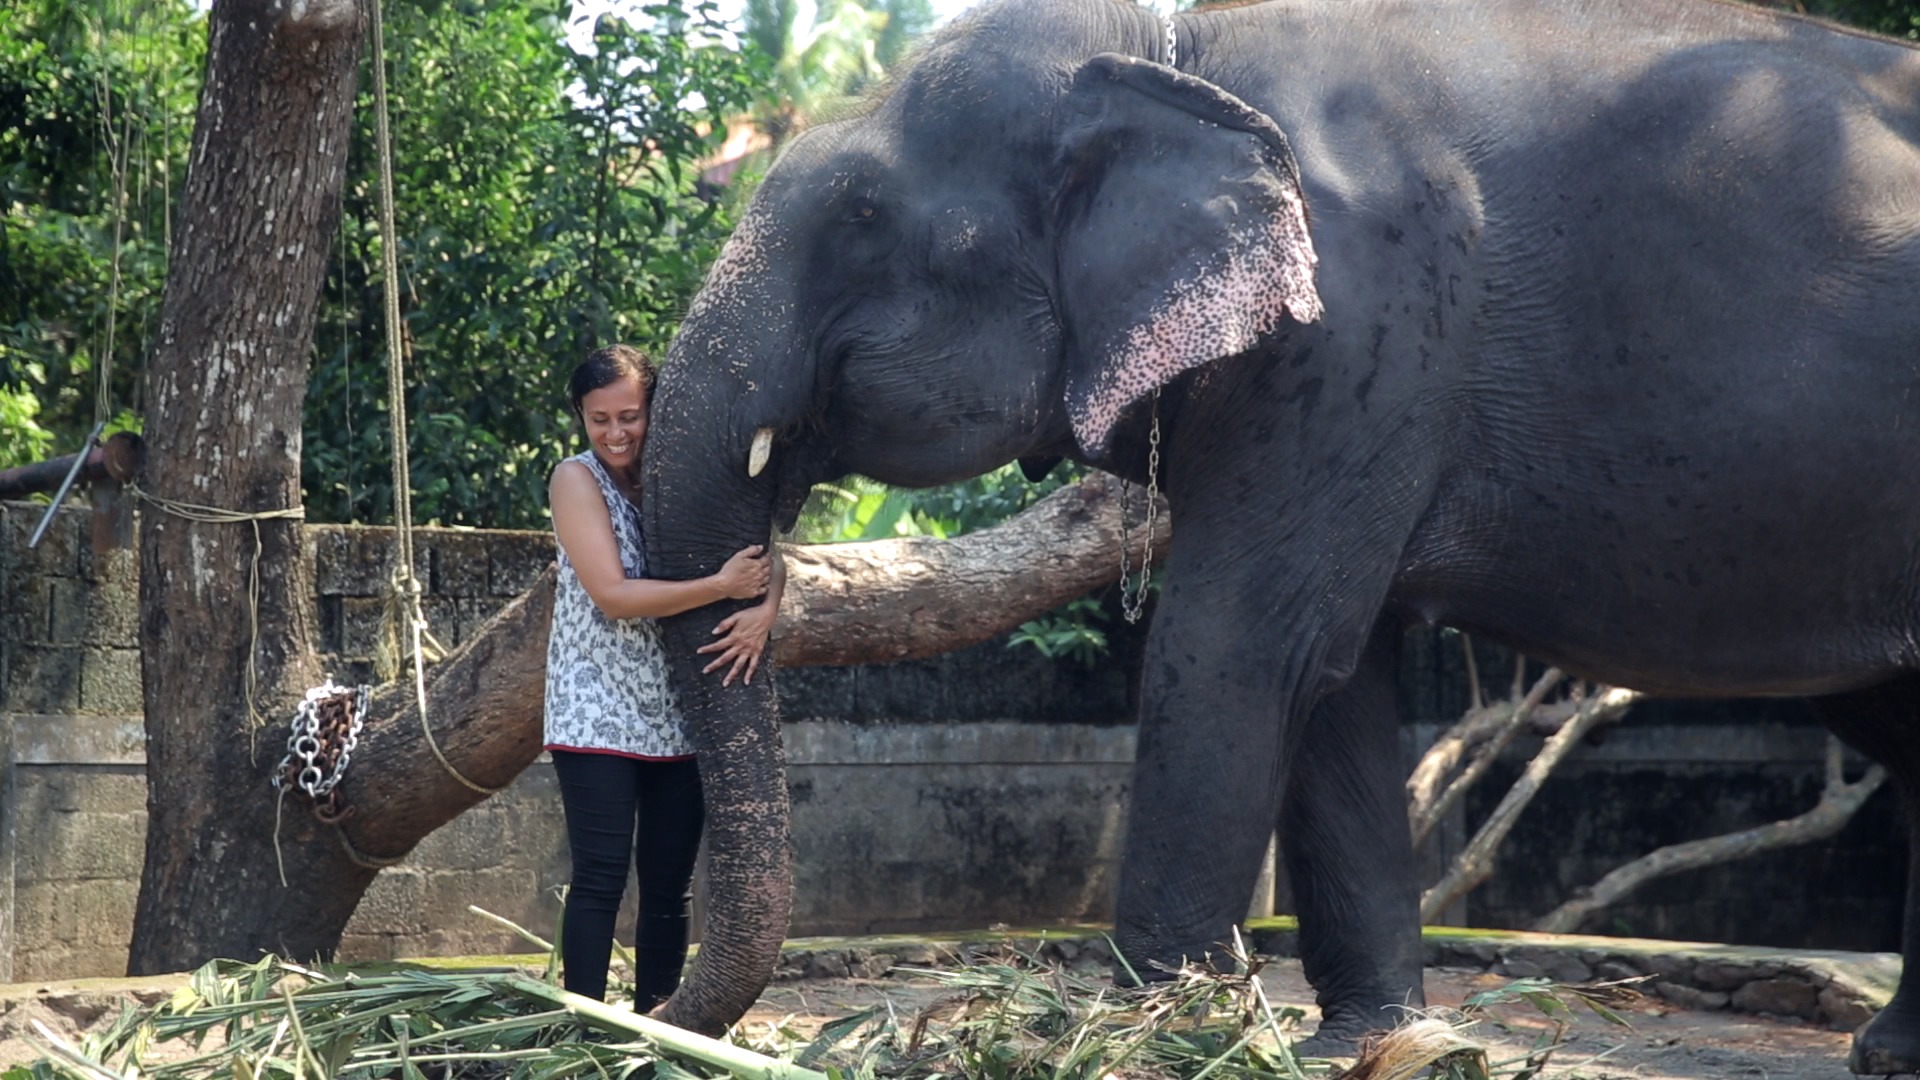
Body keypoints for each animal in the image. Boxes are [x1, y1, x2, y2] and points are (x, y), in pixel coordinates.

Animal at [641, 0, 1920, 1060]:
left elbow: (1241, 645)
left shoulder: (1362, 326)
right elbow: (1335, 680)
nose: (651, 1018)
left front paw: (1144, 1037)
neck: (1172, 52)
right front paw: (1364, 1041)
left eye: (862, 214)